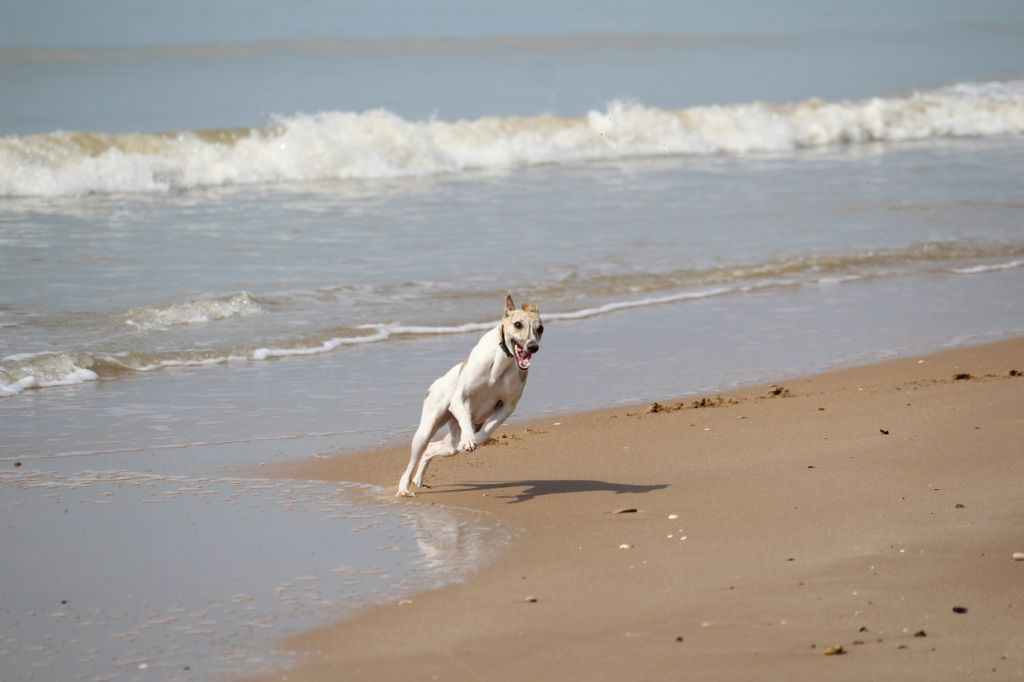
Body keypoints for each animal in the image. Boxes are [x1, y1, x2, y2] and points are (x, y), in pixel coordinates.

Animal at [397, 292, 544, 493]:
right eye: (518, 324)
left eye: (540, 328)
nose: (532, 347)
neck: (501, 362)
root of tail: (436, 383)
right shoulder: (460, 397)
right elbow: (465, 417)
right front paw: (468, 439)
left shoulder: (507, 407)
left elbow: (485, 434)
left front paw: (473, 441)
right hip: (426, 429)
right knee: (417, 455)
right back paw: (404, 488)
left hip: (450, 443)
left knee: (433, 449)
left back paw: (418, 480)